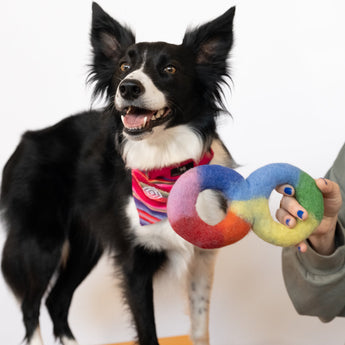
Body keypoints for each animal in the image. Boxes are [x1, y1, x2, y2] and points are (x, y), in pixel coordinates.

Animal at [0, 2, 235, 344]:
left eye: (169, 69)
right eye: (124, 66)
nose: (129, 88)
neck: (167, 166)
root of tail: (27, 139)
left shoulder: (202, 259)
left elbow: (199, 327)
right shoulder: (134, 264)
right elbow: (147, 331)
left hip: (85, 245)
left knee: (57, 299)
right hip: (39, 242)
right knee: (30, 309)